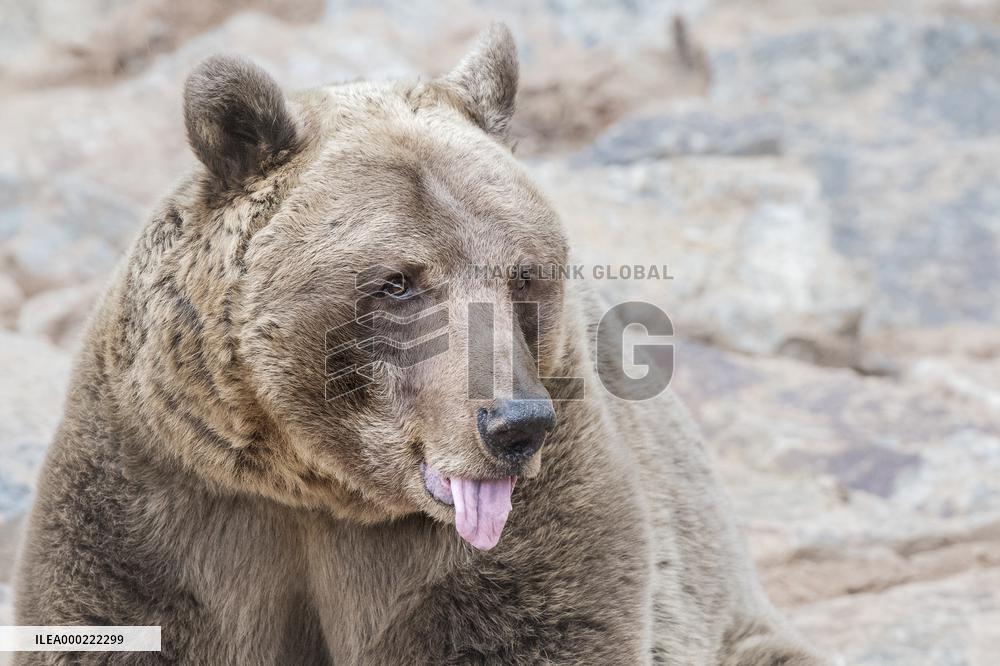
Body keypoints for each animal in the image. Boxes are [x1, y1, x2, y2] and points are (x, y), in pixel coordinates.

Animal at [13, 24, 826, 665]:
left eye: (522, 272)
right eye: (398, 282)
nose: (515, 424)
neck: (317, 491)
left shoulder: (531, 524)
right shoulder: (165, 492)